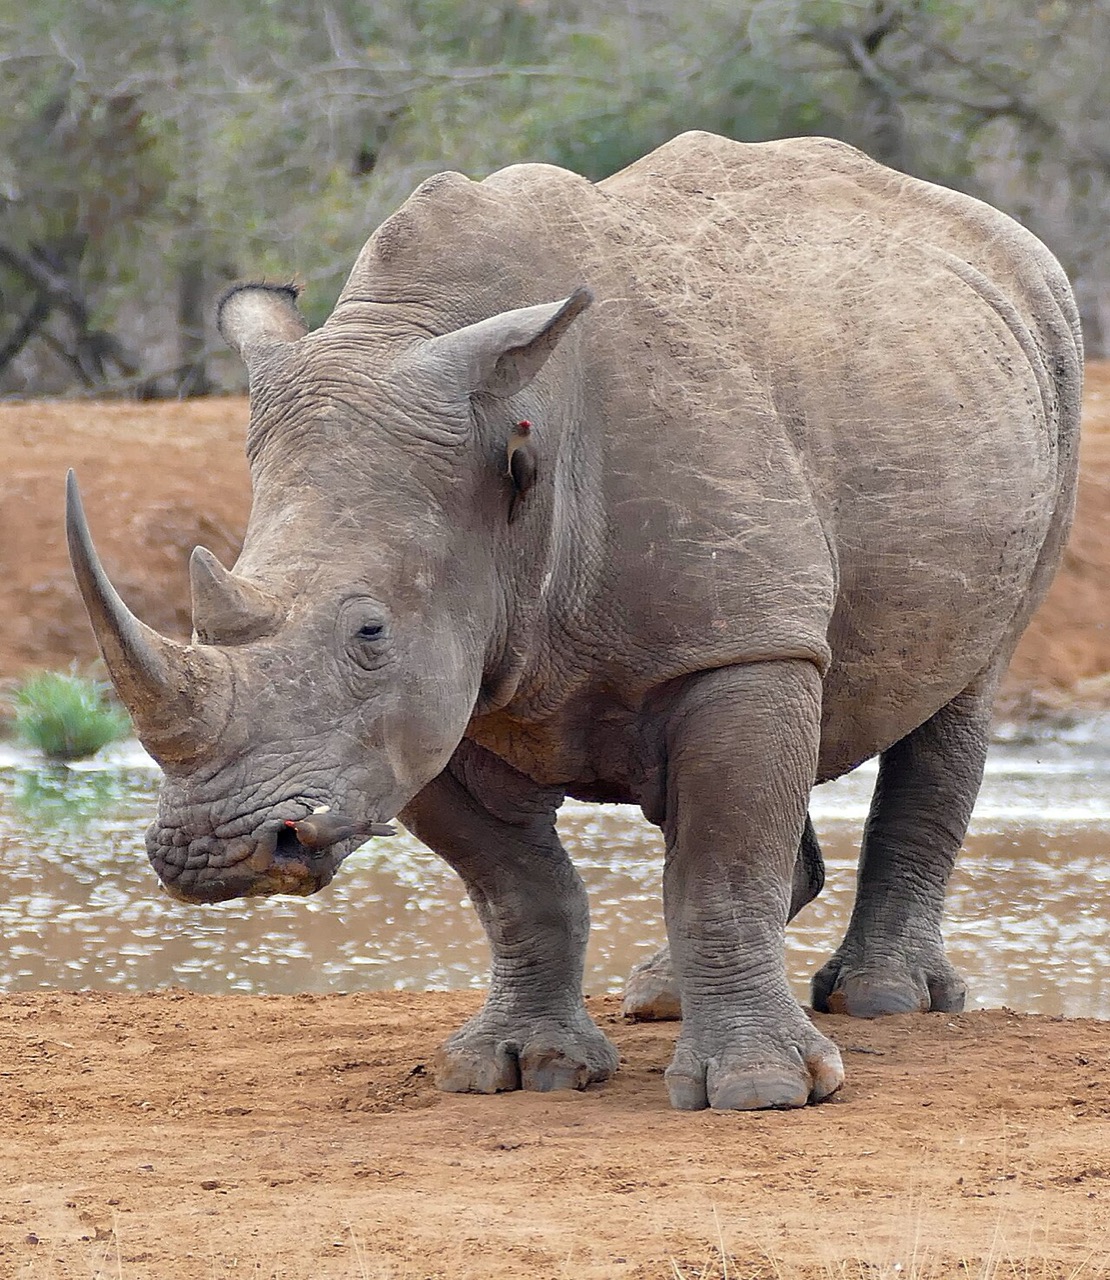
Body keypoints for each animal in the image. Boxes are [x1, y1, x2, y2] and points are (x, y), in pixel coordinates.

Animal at [66, 131, 1082, 1111]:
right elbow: (519, 886)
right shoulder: (431, 700)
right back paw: (659, 996)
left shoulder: (736, 645)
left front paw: (764, 1092)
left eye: (369, 634)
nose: (213, 854)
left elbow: (721, 869)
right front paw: (516, 1069)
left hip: (1052, 351)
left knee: (964, 689)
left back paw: (882, 999)